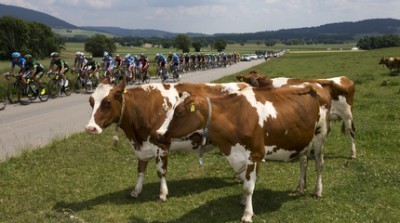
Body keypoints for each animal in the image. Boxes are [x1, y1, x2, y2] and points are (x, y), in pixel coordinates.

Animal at [84, 79, 248, 201]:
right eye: (91, 102)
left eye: (107, 102)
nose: (90, 128)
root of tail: (244, 83)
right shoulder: (141, 147)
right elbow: (140, 170)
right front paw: (136, 191)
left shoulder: (161, 145)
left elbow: (161, 171)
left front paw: (163, 193)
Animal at [158, 86, 330, 223]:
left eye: (179, 112)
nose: (159, 134)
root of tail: (312, 85)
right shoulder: (236, 156)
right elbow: (242, 181)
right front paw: (243, 201)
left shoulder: (255, 155)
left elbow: (248, 187)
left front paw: (247, 214)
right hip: (303, 141)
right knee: (303, 163)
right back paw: (300, 188)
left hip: (319, 136)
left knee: (319, 164)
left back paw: (318, 191)